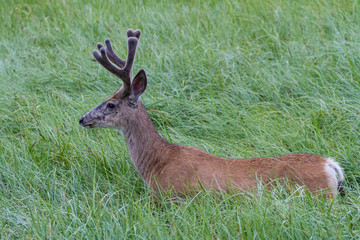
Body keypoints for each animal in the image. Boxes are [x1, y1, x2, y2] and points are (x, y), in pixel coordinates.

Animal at [79, 29, 346, 199]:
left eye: (111, 104)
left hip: (321, 197)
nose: (82, 119)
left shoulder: (170, 196)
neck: (156, 163)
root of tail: (329, 164)